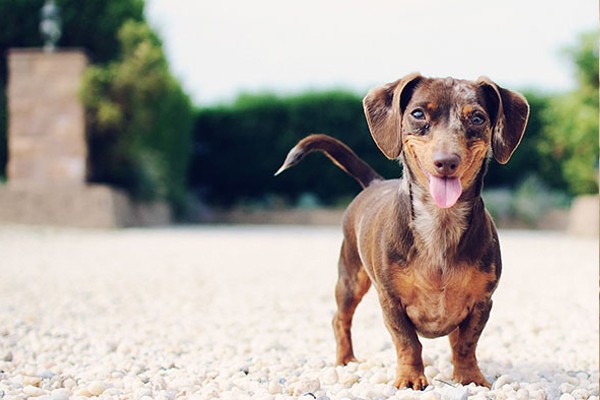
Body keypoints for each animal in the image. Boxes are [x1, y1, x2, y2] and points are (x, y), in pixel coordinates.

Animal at [274, 73, 528, 390]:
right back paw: (345, 360)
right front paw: (409, 377)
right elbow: (408, 342)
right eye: (418, 114)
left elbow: (466, 343)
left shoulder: (482, 302)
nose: (447, 161)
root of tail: (374, 183)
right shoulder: (390, 300)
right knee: (340, 319)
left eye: (478, 118)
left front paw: (469, 377)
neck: (439, 223)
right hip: (350, 279)